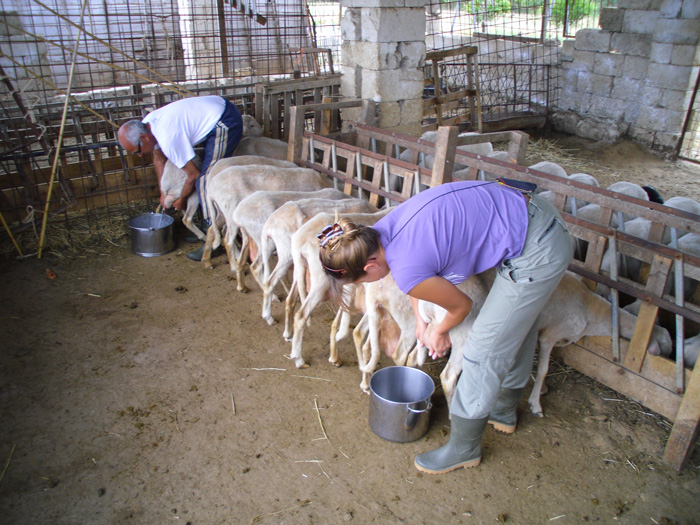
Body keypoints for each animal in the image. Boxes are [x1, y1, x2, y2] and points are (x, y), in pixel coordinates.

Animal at [201, 166, 332, 270]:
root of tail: (211, 188)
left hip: (222, 211)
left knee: (212, 229)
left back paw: (207, 261)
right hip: (230, 210)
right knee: (228, 239)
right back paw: (233, 266)